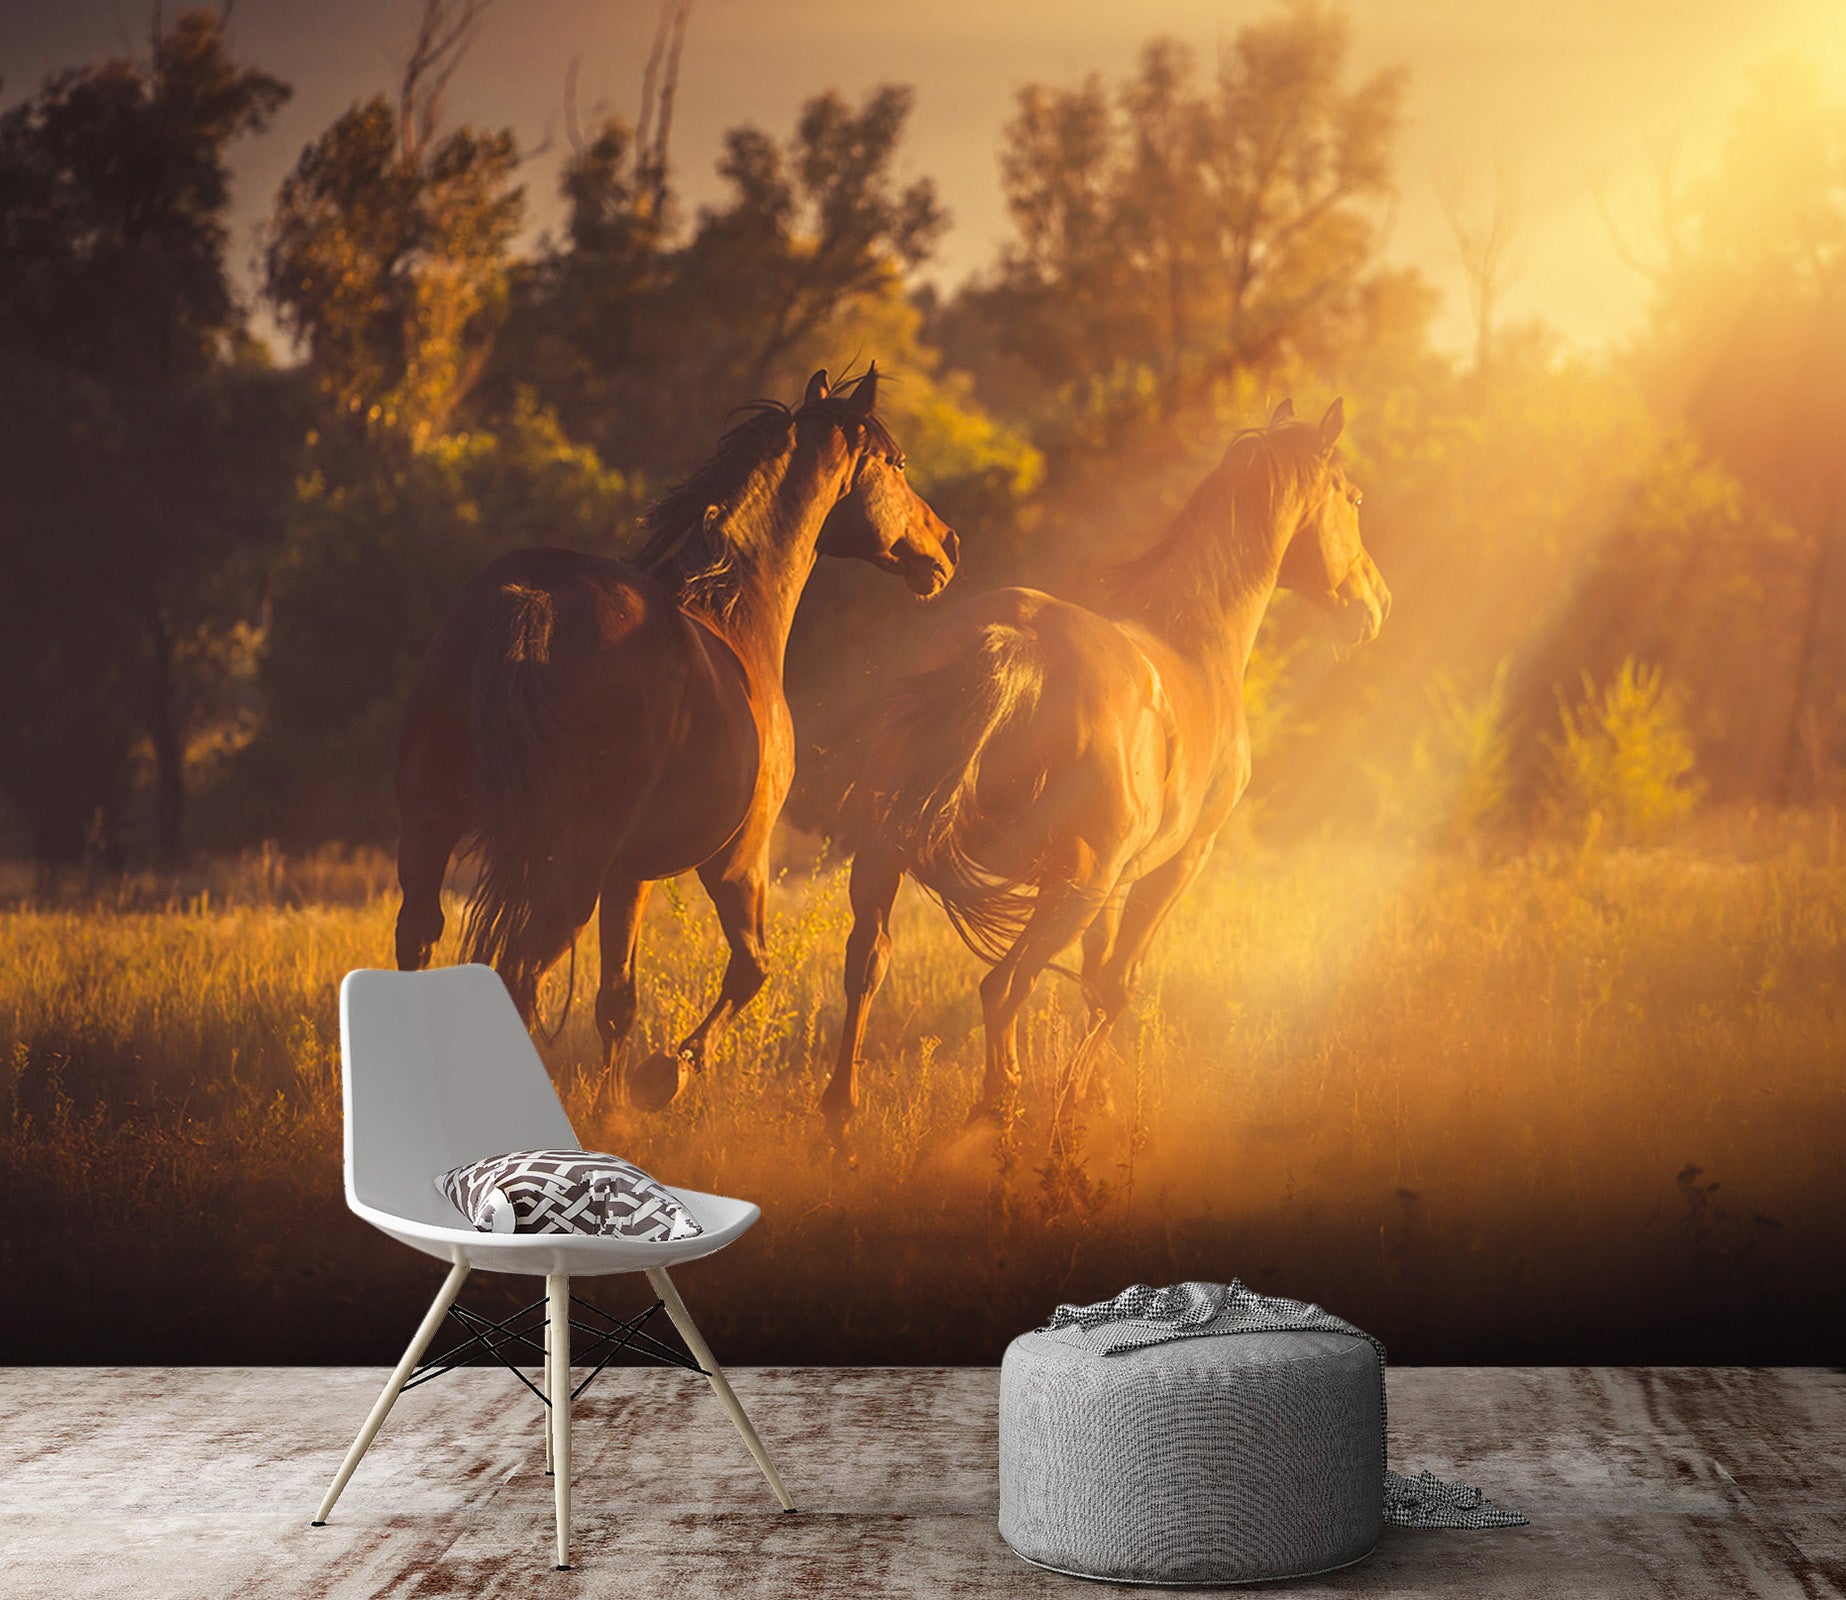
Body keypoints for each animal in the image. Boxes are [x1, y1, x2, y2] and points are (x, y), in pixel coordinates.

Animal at [393, 366, 959, 1105]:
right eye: (895, 464)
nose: (947, 546)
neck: (734, 612)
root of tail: (531, 599)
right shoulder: (738, 860)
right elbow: (750, 969)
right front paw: (668, 1074)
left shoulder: (627, 875)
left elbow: (617, 1002)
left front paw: (617, 1107)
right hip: (567, 872)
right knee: (521, 975)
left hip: (432, 827)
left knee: (420, 942)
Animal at [820, 397, 1388, 1143]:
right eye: (1353, 498)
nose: (1376, 605)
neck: (1195, 643)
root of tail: (1017, 642)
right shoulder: (1179, 863)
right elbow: (1116, 985)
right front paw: (1078, 1108)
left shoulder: (1117, 880)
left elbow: (1095, 977)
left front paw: (1092, 1099)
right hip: (1071, 889)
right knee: (1004, 987)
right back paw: (995, 1115)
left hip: (888, 854)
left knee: (868, 962)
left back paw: (841, 1120)